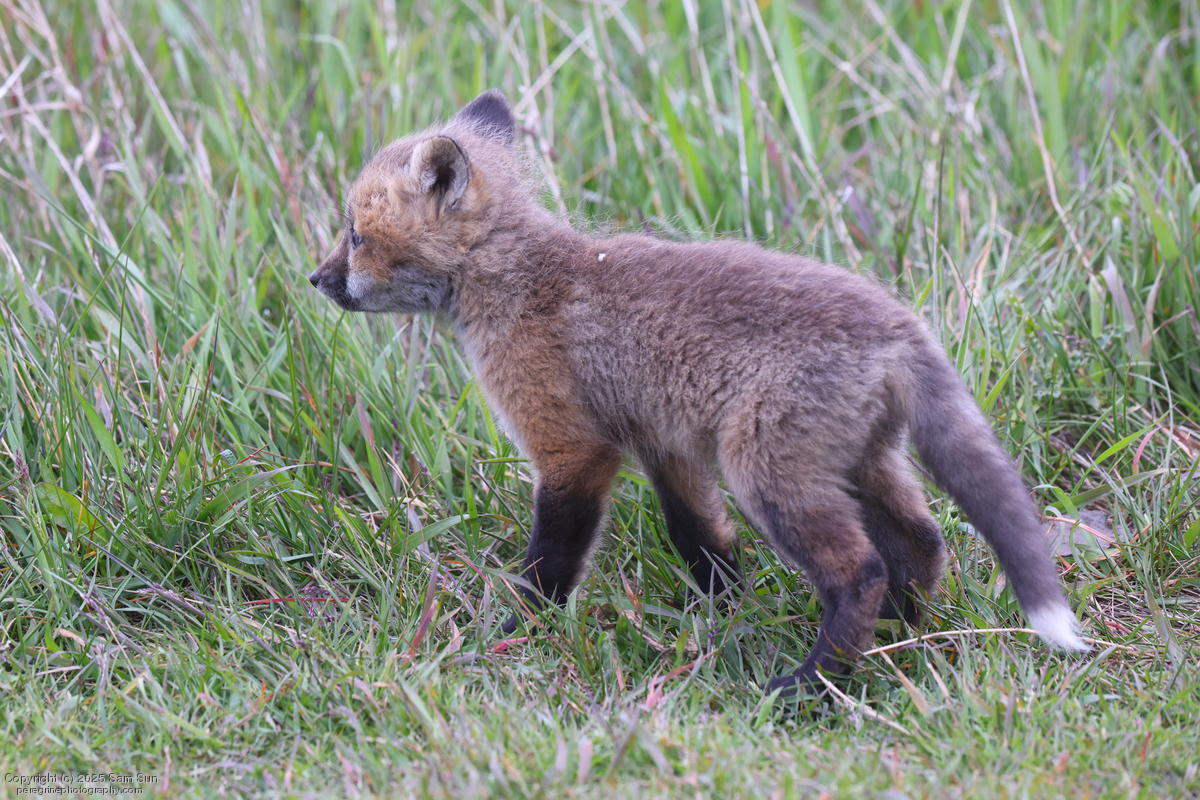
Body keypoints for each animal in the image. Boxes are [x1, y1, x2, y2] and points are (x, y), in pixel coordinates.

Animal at [308, 89, 1089, 694]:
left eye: (355, 236)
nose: (316, 280)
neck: (518, 281)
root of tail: (900, 327)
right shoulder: (666, 445)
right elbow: (702, 540)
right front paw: (722, 613)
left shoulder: (572, 449)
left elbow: (551, 562)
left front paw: (512, 634)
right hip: (860, 464)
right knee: (923, 540)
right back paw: (900, 636)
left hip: (767, 472)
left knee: (860, 569)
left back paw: (813, 685)